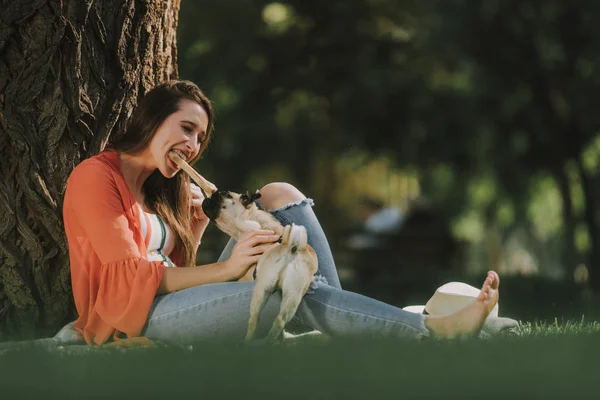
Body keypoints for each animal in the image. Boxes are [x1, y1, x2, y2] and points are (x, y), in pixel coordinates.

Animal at [203, 191, 318, 340]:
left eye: (222, 195)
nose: (208, 196)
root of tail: (291, 246)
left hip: (261, 291)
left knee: (254, 320)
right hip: (293, 295)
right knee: (280, 321)